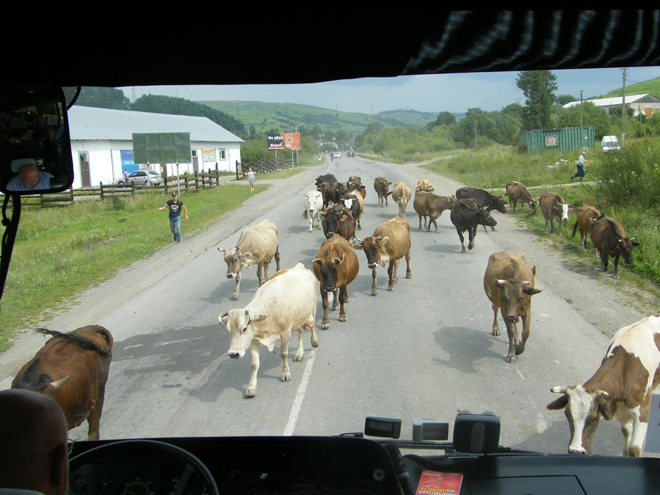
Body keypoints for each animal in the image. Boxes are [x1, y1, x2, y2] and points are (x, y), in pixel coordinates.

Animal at [218, 264, 318, 400]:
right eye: (228, 330)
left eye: (244, 328)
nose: (233, 354)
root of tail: (300, 266)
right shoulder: (254, 340)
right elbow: (254, 364)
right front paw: (251, 388)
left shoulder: (286, 333)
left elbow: (283, 354)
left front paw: (285, 373)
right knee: (301, 330)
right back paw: (299, 353)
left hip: (312, 309)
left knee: (312, 326)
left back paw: (314, 341)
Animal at [548, 314, 660, 458]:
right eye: (567, 415)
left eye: (594, 419)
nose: (575, 451)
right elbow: (626, 431)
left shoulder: (642, 412)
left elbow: (634, 449)